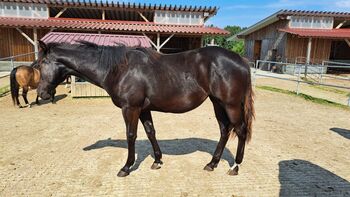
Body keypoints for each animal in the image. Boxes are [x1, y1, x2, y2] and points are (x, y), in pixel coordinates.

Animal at [36, 40, 254, 177]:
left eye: (40, 64)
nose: (41, 94)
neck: (118, 69)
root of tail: (242, 60)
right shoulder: (143, 109)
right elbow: (150, 132)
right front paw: (157, 161)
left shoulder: (130, 108)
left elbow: (131, 135)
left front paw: (126, 167)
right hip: (217, 103)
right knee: (225, 130)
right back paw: (212, 163)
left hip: (230, 104)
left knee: (240, 130)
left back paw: (235, 166)